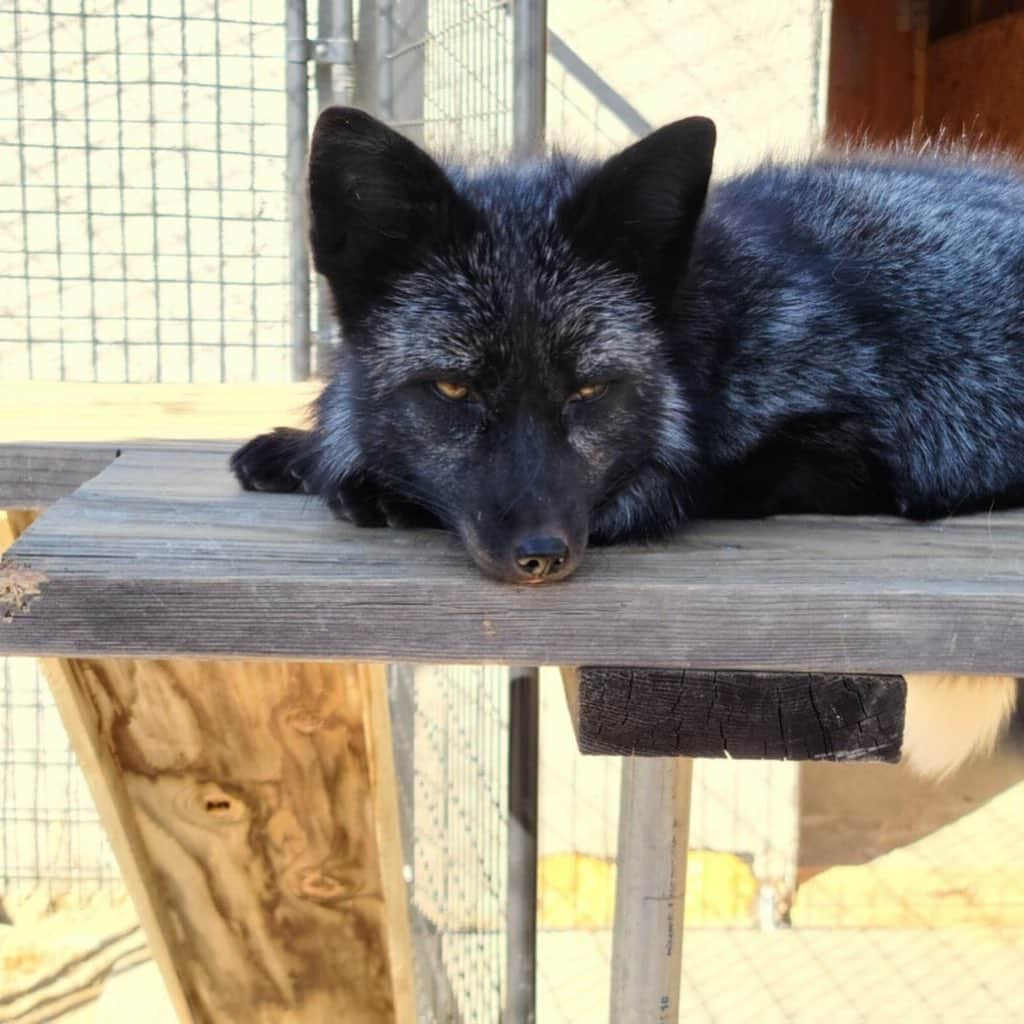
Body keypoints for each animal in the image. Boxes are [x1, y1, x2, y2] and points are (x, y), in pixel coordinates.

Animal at [234, 108, 1024, 770]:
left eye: (590, 392)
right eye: (455, 390)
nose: (541, 555)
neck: (711, 321)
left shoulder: (865, 447)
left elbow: (709, 474)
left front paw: (373, 490)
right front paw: (299, 450)